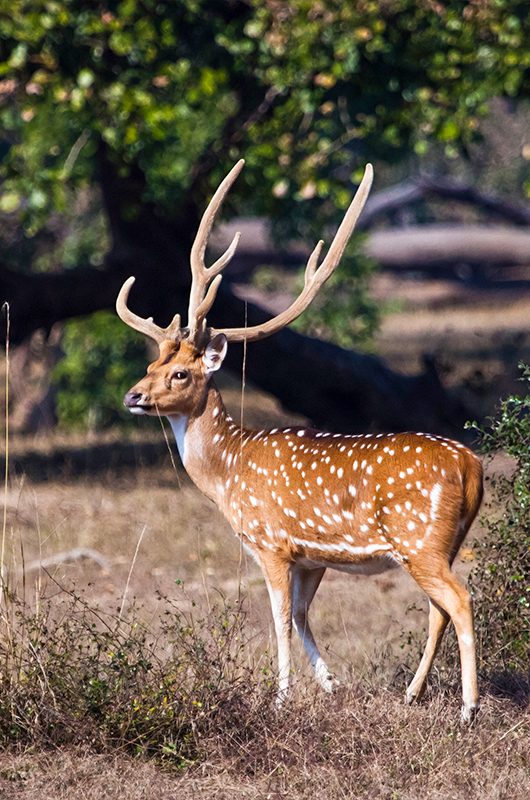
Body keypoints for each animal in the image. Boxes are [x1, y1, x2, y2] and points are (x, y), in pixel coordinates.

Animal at [116, 159, 483, 723]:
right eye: (151, 365)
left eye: (180, 373)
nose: (133, 395)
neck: (228, 473)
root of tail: (472, 467)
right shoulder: (312, 558)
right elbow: (305, 616)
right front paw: (330, 684)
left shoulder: (272, 543)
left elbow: (280, 618)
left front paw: (281, 697)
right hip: (442, 542)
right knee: (437, 610)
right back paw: (411, 694)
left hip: (419, 539)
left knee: (459, 602)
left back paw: (467, 709)